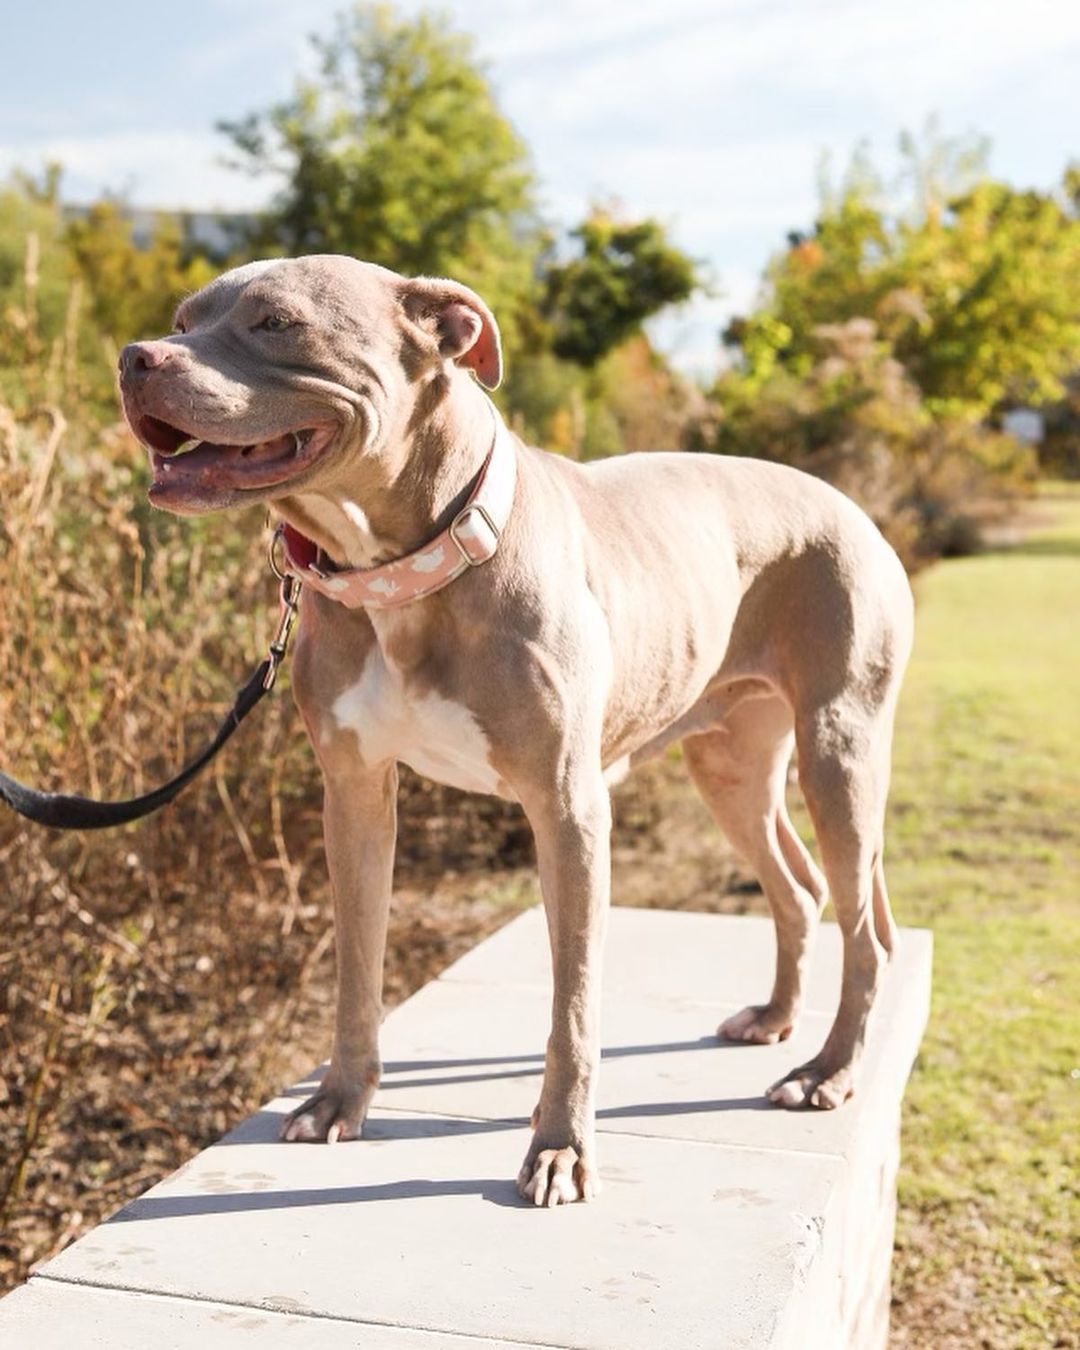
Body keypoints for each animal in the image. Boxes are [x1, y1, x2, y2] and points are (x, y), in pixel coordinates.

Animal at [116, 257, 912, 1209]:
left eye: (277, 321)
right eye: (182, 320)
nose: (134, 357)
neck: (405, 569)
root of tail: (849, 502)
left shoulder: (569, 809)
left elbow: (573, 1006)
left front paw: (560, 1147)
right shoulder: (355, 794)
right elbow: (357, 966)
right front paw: (342, 1100)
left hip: (840, 749)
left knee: (867, 930)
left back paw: (830, 1071)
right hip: (730, 760)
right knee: (797, 886)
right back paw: (777, 1019)